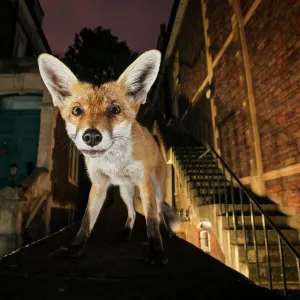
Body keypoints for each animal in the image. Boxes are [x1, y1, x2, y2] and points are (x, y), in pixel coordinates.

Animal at [38, 50, 177, 264]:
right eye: (77, 110)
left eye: (115, 110)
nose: (91, 136)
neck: (114, 163)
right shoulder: (99, 184)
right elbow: (87, 220)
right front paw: (77, 246)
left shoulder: (144, 181)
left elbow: (151, 219)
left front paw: (157, 250)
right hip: (125, 192)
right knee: (131, 212)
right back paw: (126, 231)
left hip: (157, 189)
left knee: (160, 211)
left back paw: (165, 230)